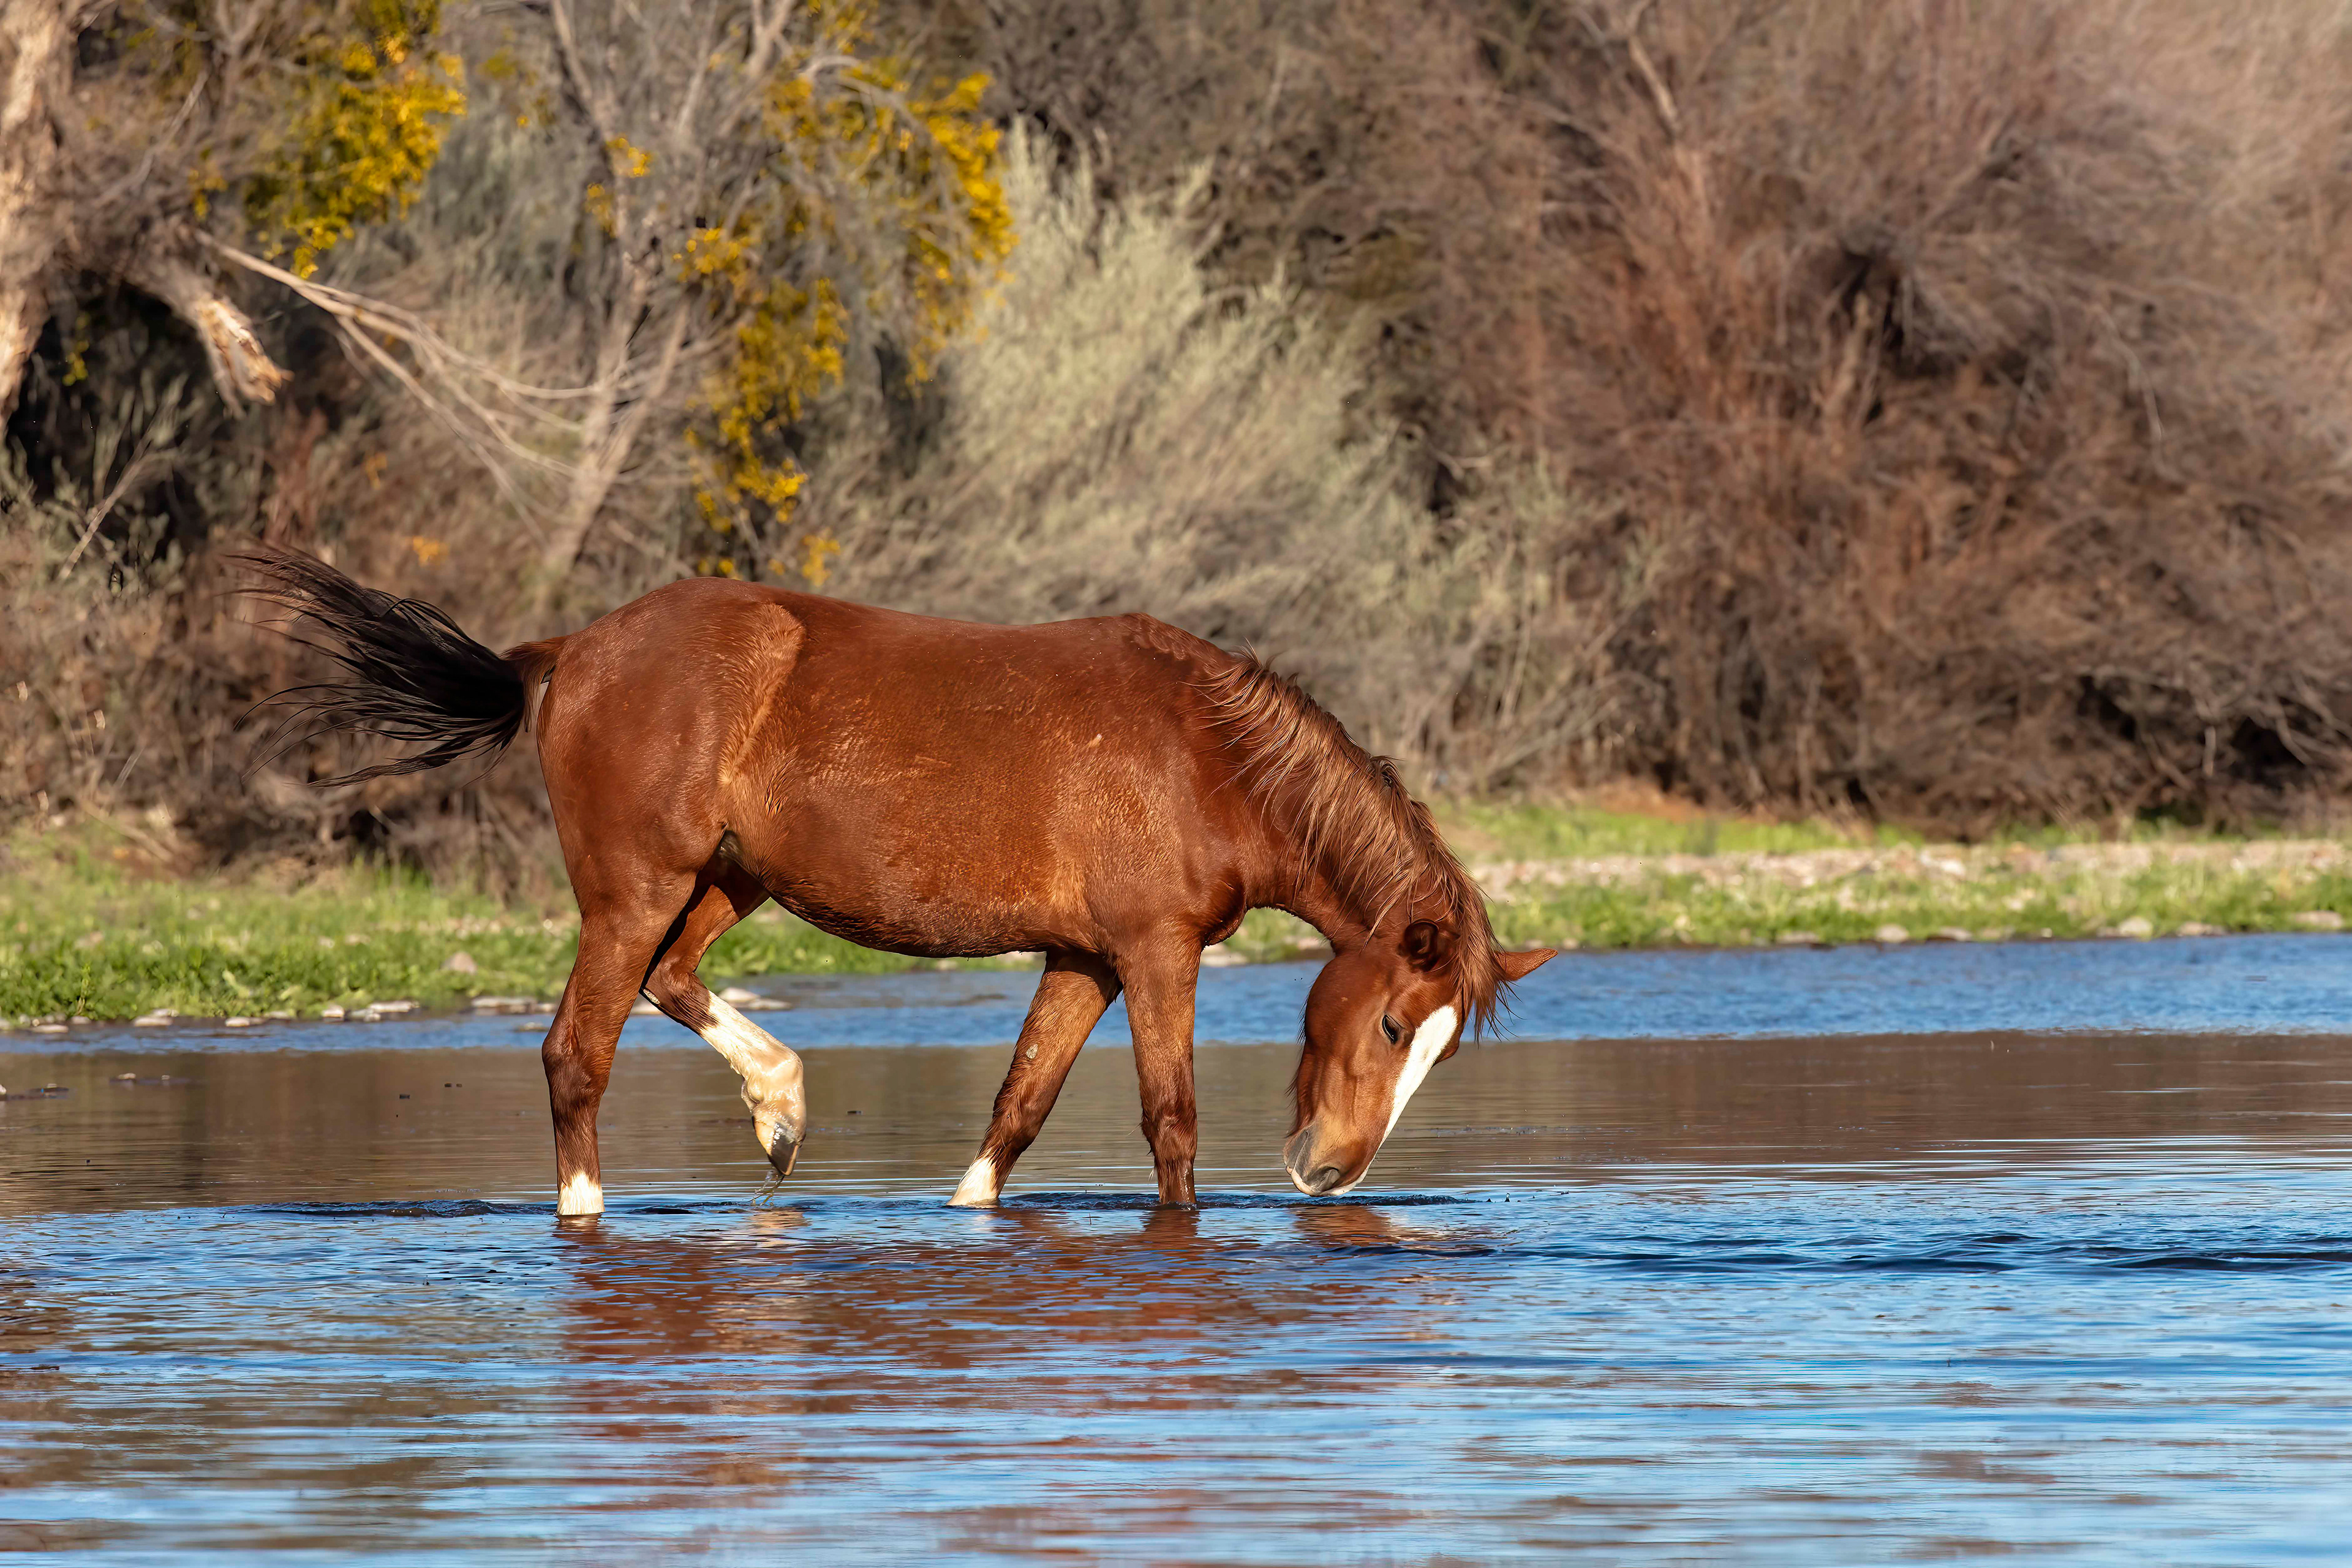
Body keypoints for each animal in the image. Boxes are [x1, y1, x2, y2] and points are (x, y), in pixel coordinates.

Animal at [238, 547, 1555, 1214]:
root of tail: (572, 650)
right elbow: (1170, 1124)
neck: (1207, 756)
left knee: (673, 984)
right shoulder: (1156, 950)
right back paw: (590, 1209)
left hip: (728, 884)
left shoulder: (1084, 959)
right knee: (578, 1055)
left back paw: (779, 1106)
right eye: (1392, 1025)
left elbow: (1017, 1110)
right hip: (632, 891)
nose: (1331, 1171)